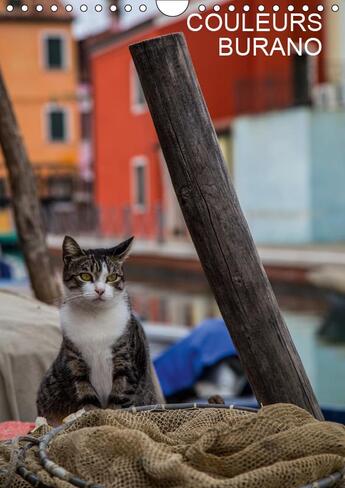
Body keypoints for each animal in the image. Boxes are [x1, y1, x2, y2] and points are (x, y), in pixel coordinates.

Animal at [36, 235, 159, 424]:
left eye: (112, 277)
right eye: (85, 276)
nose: (100, 290)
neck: (95, 317)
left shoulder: (125, 360)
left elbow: (119, 394)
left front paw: (111, 418)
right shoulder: (75, 360)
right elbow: (85, 393)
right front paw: (92, 418)